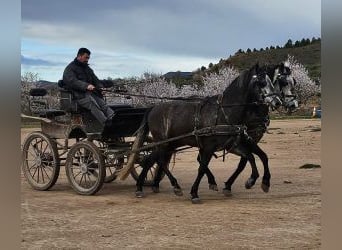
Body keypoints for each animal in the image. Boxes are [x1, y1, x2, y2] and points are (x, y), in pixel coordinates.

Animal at [135, 64, 282, 203]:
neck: (224, 112)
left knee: (152, 160)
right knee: (159, 161)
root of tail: (153, 107)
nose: (277, 102)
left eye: (272, 81)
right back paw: (173, 186)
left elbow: (251, 157)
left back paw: (143, 186)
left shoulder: (232, 144)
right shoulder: (209, 147)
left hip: (170, 144)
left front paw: (256, 180)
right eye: (261, 82)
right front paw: (194, 193)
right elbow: (202, 167)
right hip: (163, 143)